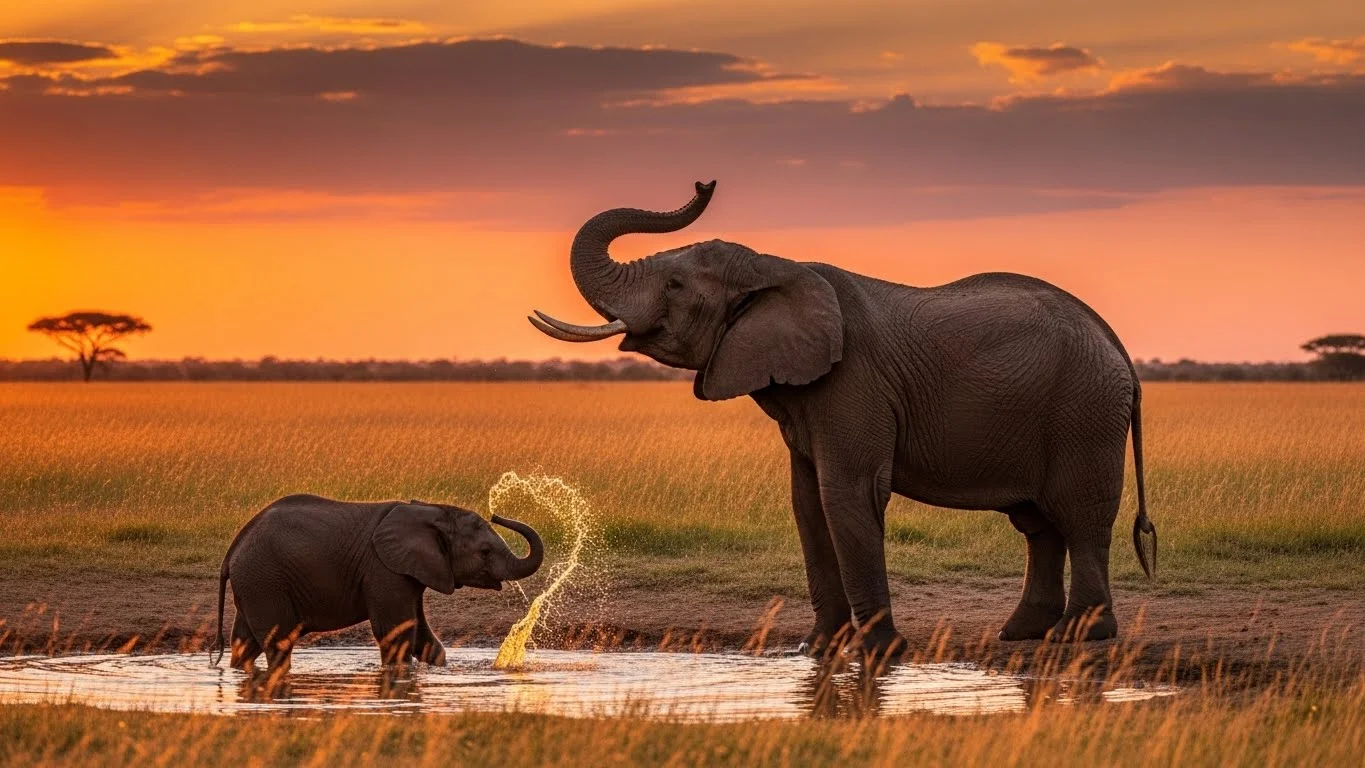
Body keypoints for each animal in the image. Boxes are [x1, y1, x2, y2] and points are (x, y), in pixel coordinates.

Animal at [211, 494, 544, 671]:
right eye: (484, 552)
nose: (496, 514)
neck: (432, 510)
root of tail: (232, 550)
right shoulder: (384, 570)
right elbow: (395, 632)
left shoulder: (410, 571)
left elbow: (423, 637)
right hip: (264, 580)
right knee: (278, 642)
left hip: (255, 584)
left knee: (245, 642)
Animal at [530, 181, 1156, 656]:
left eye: (676, 285)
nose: (703, 184)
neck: (775, 267)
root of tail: (1119, 349)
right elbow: (808, 504)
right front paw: (816, 651)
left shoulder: (854, 384)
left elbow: (847, 495)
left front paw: (881, 653)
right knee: (1038, 524)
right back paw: (1023, 634)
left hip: (1084, 412)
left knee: (1080, 516)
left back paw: (1081, 636)